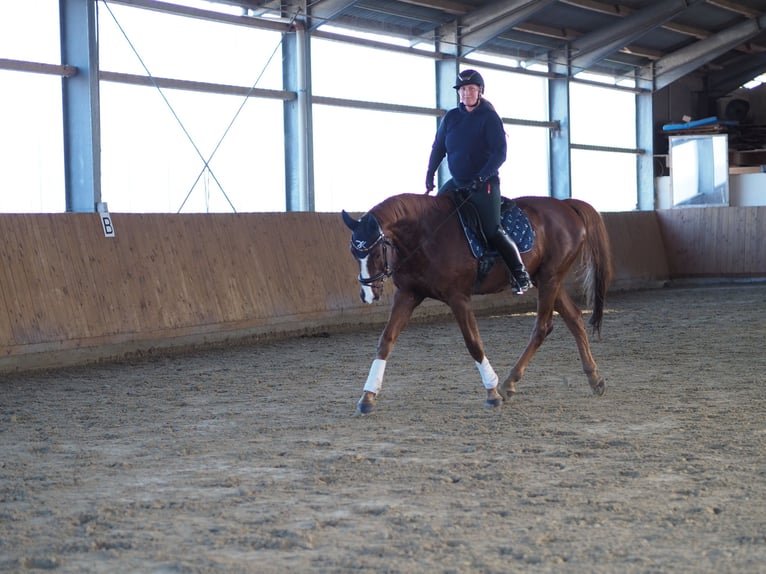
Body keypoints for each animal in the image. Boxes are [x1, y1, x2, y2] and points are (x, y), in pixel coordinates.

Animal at [341, 192, 613, 416]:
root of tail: (565, 205)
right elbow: (385, 341)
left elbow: (473, 342)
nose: (368, 295)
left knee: (543, 327)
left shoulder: (458, 297)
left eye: (377, 252)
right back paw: (595, 379)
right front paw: (367, 397)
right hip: (546, 278)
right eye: (354, 253)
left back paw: (508, 383)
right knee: (575, 318)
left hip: (549, 278)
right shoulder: (408, 294)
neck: (426, 235)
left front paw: (491, 393)